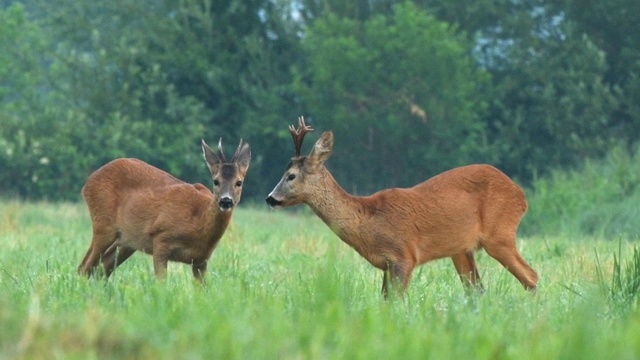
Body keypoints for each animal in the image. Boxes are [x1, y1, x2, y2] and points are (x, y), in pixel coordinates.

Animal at [79, 138, 251, 282]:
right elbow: (161, 282)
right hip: (103, 224)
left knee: (101, 269)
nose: (226, 201)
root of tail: (87, 183)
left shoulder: (201, 260)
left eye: (239, 182)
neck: (198, 219)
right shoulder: (161, 238)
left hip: (126, 241)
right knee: (85, 266)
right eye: (216, 181)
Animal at [266, 116, 540, 296]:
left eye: (290, 175)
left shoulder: (404, 255)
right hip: (462, 249)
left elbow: (398, 300)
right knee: (477, 290)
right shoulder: (387, 265)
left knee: (531, 277)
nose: (270, 198)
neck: (367, 220)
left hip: (499, 233)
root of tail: (521, 195)